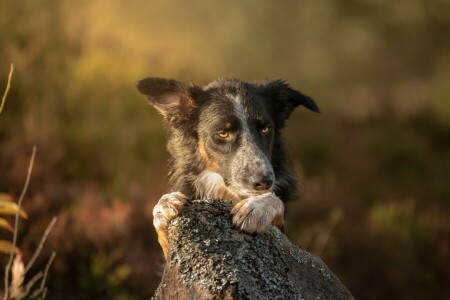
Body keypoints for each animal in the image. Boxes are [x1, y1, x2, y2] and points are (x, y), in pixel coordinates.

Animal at [135, 77, 318, 258]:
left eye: (265, 129)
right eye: (223, 133)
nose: (264, 182)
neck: (229, 194)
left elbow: (275, 201)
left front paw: (257, 207)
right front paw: (164, 206)